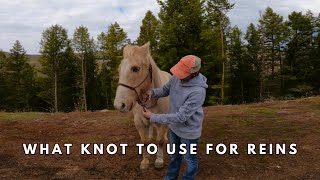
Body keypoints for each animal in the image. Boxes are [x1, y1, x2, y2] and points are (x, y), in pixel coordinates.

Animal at [114, 41, 171, 169]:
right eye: (119, 70)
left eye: (135, 68)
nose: (119, 105)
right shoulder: (139, 122)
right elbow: (144, 141)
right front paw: (145, 161)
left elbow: (160, 140)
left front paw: (159, 160)